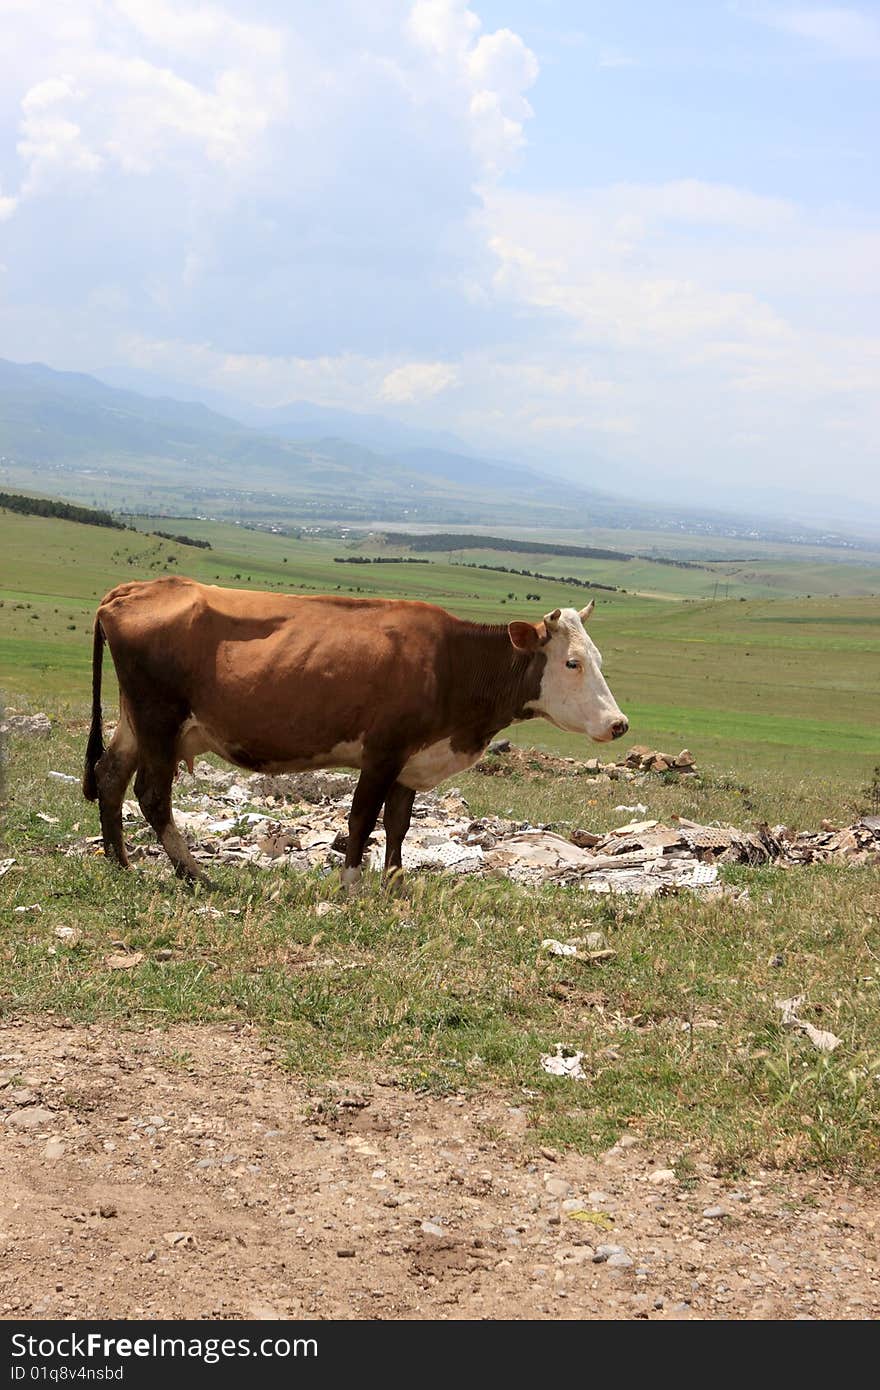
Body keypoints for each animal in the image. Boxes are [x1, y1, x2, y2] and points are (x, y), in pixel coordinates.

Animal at [82, 578, 628, 884]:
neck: (452, 663)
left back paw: (120, 863)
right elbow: (362, 820)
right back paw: (194, 874)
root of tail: (133, 590)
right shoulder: (382, 752)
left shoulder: (411, 760)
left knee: (110, 776)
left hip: (136, 720)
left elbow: (398, 825)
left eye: (600, 658)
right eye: (572, 662)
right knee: (152, 795)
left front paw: (394, 883)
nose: (619, 724)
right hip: (160, 718)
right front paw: (351, 883)